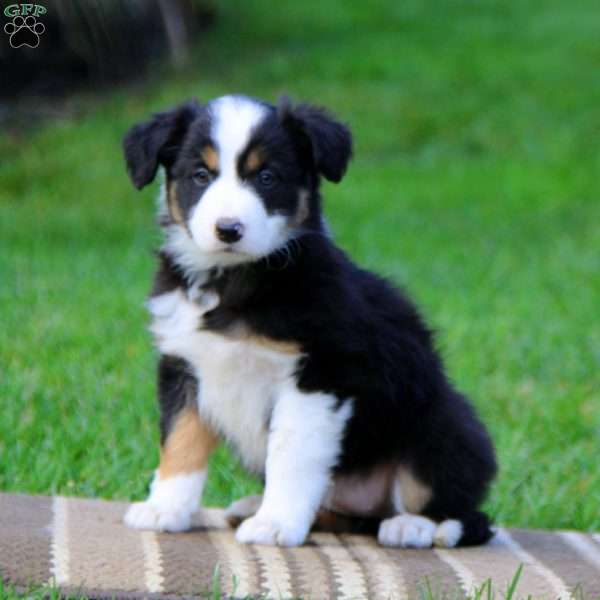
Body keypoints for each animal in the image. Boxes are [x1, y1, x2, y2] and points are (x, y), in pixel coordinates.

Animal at [120, 94, 496, 548]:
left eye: (267, 177)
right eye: (200, 175)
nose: (229, 229)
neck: (234, 281)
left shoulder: (317, 375)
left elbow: (291, 455)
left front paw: (275, 524)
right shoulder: (184, 365)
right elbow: (179, 442)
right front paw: (165, 509)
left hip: (443, 421)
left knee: (461, 512)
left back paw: (415, 527)